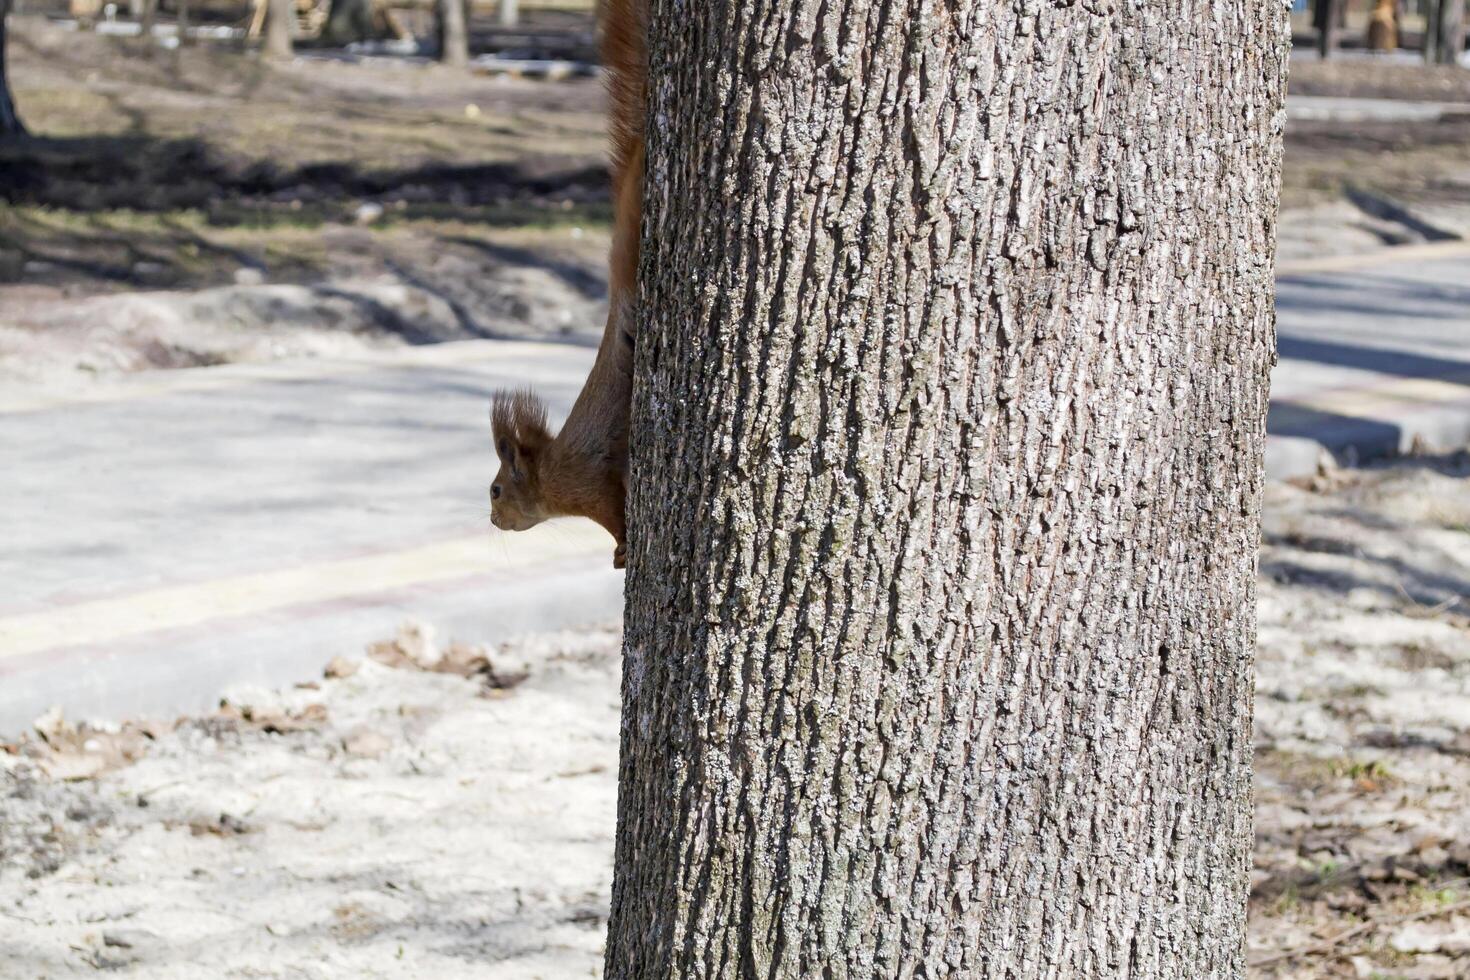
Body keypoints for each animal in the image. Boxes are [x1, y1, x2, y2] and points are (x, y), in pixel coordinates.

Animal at [488, 0, 643, 570]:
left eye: (496, 490)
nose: (492, 520)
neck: (549, 471)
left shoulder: (587, 484)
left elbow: (614, 512)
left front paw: (621, 550)